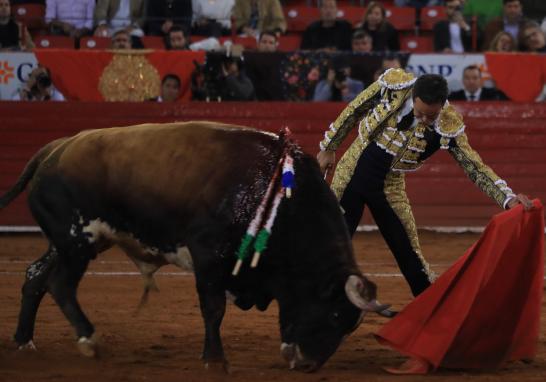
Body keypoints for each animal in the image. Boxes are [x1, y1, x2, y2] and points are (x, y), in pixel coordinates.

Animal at [0, 121, 384, 370]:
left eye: (349, 326)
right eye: (334, 314)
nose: (308, 364)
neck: (278, 196)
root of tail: (54, 149)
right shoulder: (208, 256)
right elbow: (213, 308)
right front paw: (214, 359)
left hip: (70, 242)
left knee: (35, 276)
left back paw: (24, 340)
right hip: (77, 240)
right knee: (60, 284)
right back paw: (88, 342)